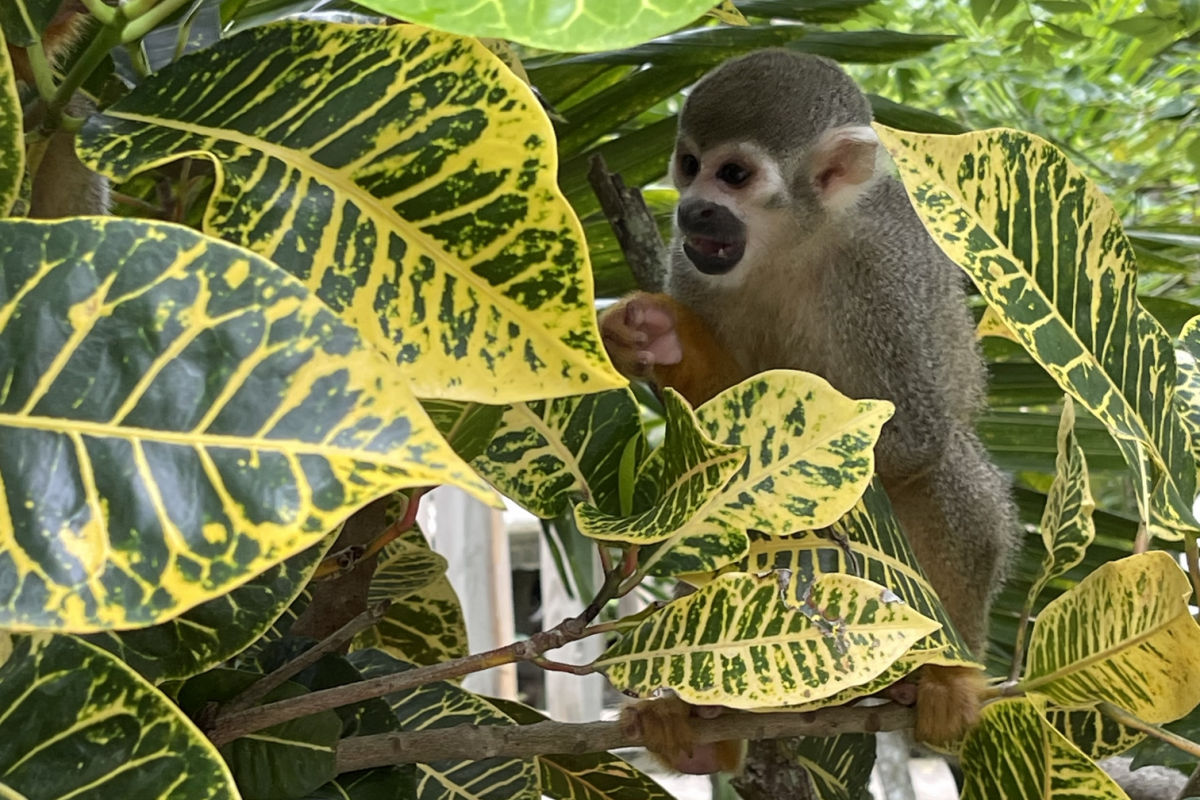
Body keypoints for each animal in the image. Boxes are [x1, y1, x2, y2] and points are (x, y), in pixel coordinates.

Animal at [601, 50, 1019, 770]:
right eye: (688, 162)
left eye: (734, 175)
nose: (693, 210)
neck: (794, 240)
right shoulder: (690, 263)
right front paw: (660, 338)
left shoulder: (880, 276)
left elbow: (904, 436)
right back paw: (706, 720)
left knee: (944, 471)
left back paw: (942, 674)